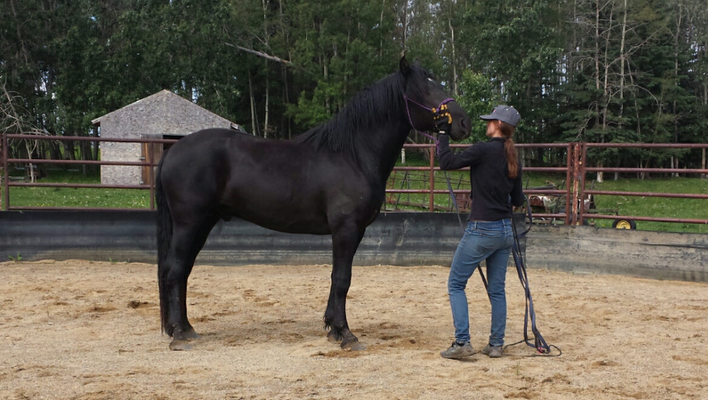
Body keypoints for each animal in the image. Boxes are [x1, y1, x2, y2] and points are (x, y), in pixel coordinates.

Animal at [155, 57, 471, 351]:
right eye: (425, 88)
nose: (464, 122)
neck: (353, 155)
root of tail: (173, 150)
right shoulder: (346, 229)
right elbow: (342, 278)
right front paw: (345, 333)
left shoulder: (355, 231)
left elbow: (337, 278)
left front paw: (332, 328)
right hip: (189, 223)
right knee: (174, 269)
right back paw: (179, 334)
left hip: (203, 224)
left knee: (183, 271)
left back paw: (186, 328)